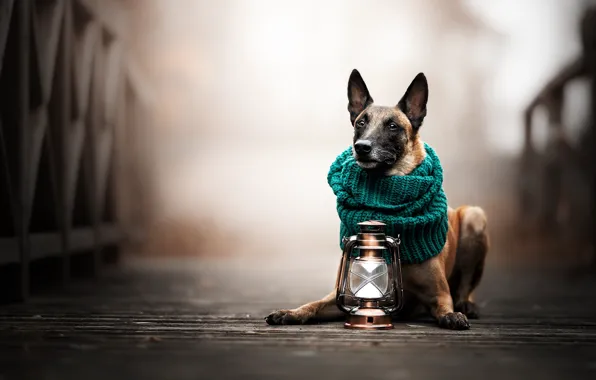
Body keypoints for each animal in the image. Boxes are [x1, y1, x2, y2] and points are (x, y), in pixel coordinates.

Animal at [266, 69, 488, 330]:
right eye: (361, 122)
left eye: (392, 126)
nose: (361, 147)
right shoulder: (344, 293)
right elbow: (314, 304)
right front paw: (291, 312)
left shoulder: (439, 294)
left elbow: (446, 306)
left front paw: (453, 315)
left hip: (474, 217)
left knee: (464, 288)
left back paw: (466, 305)